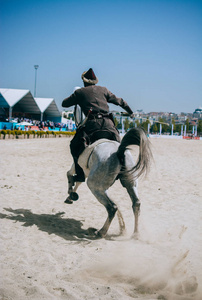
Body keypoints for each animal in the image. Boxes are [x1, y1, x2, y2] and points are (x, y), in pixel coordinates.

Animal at [65, 109, 152, 238]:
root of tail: (120, 151)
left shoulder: (78, 167)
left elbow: (71, 176)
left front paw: (71, 194)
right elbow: (77, 180)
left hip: (95, 186)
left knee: (112, 207)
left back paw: (101, 231)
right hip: (130, 183)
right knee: (136, 204)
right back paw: (135, 233)